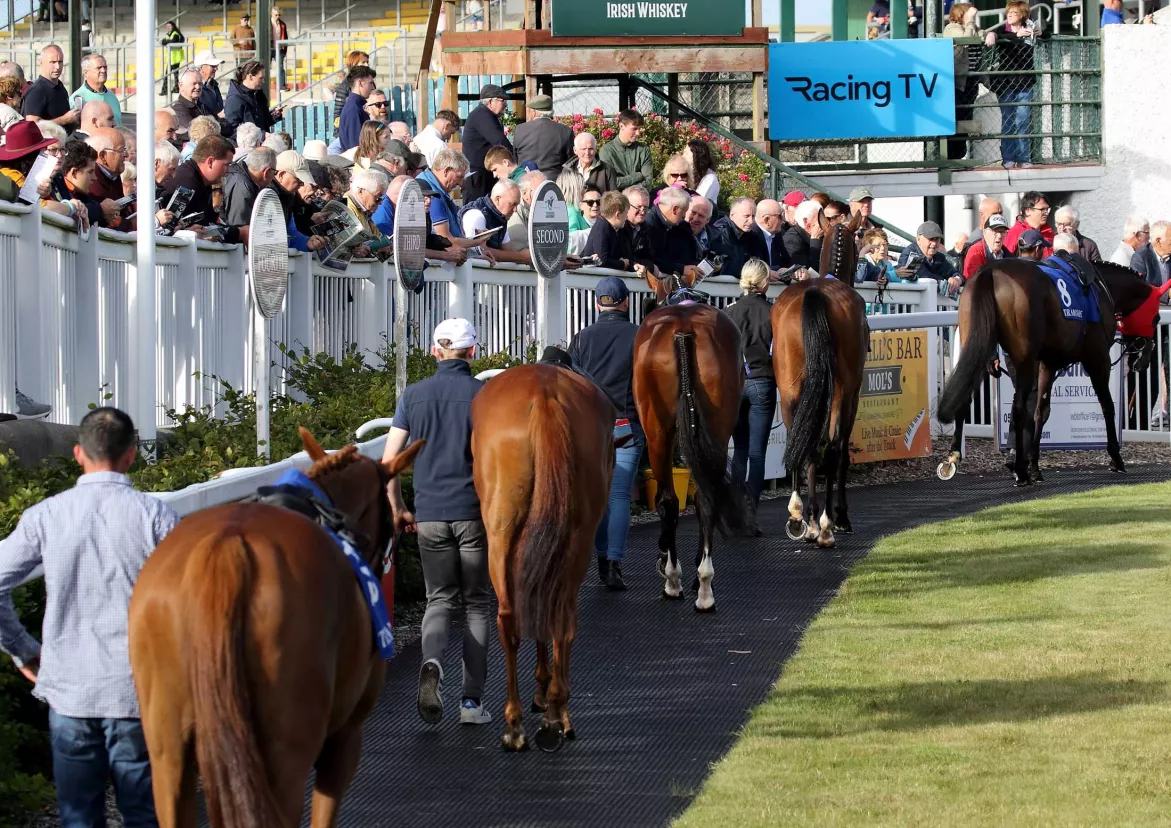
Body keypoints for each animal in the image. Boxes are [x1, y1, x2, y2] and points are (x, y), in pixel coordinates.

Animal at [473, 363, 622, 749]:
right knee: (560, 617)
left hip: (501, 530)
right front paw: (546, 693)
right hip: (578, 537)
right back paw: (556, 714)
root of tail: (543, 394)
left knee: (510, 618)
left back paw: (516, 722)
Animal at [632, 302, 749, 613]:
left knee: (670, 501)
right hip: (715, 427)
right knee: (705, 498)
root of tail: (683, 330)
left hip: (657, 432)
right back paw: (703, 584)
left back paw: (676, 580)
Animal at [768, 276, 871, 550]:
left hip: (791, 392)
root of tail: (815, 290)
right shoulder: (853, 396)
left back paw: (806, 520)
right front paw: (840, 517)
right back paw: (824, 526)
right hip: (841, 394)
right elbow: (842, 452)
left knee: (808, 447)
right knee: (834, 450)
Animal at [936, 255, 1156, 482]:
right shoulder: (1097, 358)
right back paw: (1020, 471)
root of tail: (991, 272)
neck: (1101, 289)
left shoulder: (1048, 363)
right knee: (1018, 408)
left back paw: (954, 456)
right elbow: (1107, 406)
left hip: (976, 344)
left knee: (965, 396)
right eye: (1155, 318)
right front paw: (1116, 458)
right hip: (1024, 359)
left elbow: (1042, 411)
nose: (1145, 358)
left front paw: (1035, 465)